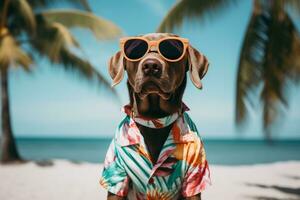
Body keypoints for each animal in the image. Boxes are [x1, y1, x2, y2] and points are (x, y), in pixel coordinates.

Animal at [102, 33, 210, 200]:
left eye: (172, 49)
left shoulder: (195, 176)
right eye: (135, 50)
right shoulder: (116, 175)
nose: (151, 66)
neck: (154, 119)